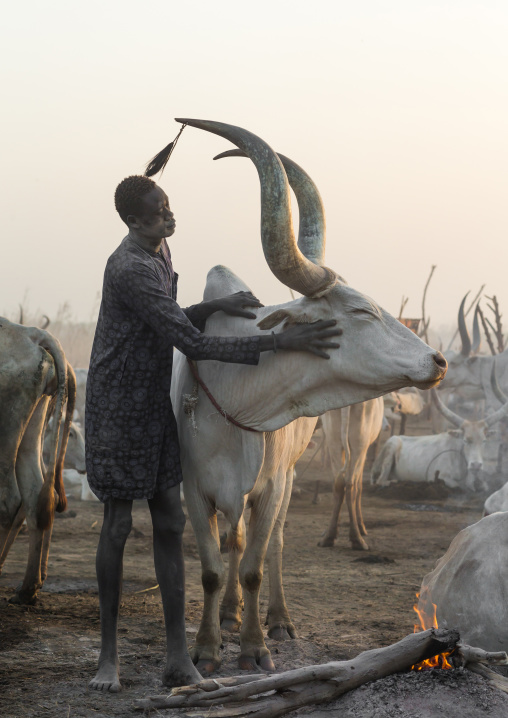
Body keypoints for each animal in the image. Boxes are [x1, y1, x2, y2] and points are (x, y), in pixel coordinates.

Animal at [0, 318, 74, 604]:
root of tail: (31, 333)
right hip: (30, 429)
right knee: (35, 496)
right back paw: (27, 589)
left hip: (7, 428)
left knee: (9, 500)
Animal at [317, 398, 384, 550]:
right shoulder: (365, 450)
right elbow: (359, 486)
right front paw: (361, 526)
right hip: (359, 443)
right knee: (351, 485)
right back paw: (357, 538)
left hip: (333, 440)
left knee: (338, 484)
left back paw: (329, 536)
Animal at [371, 389, 508, 491]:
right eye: (465, 440)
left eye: (484, 441)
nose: (476, 465)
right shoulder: (440, 476)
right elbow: (456, 485)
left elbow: (483, 486)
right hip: (391, 448)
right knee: (380, 481)